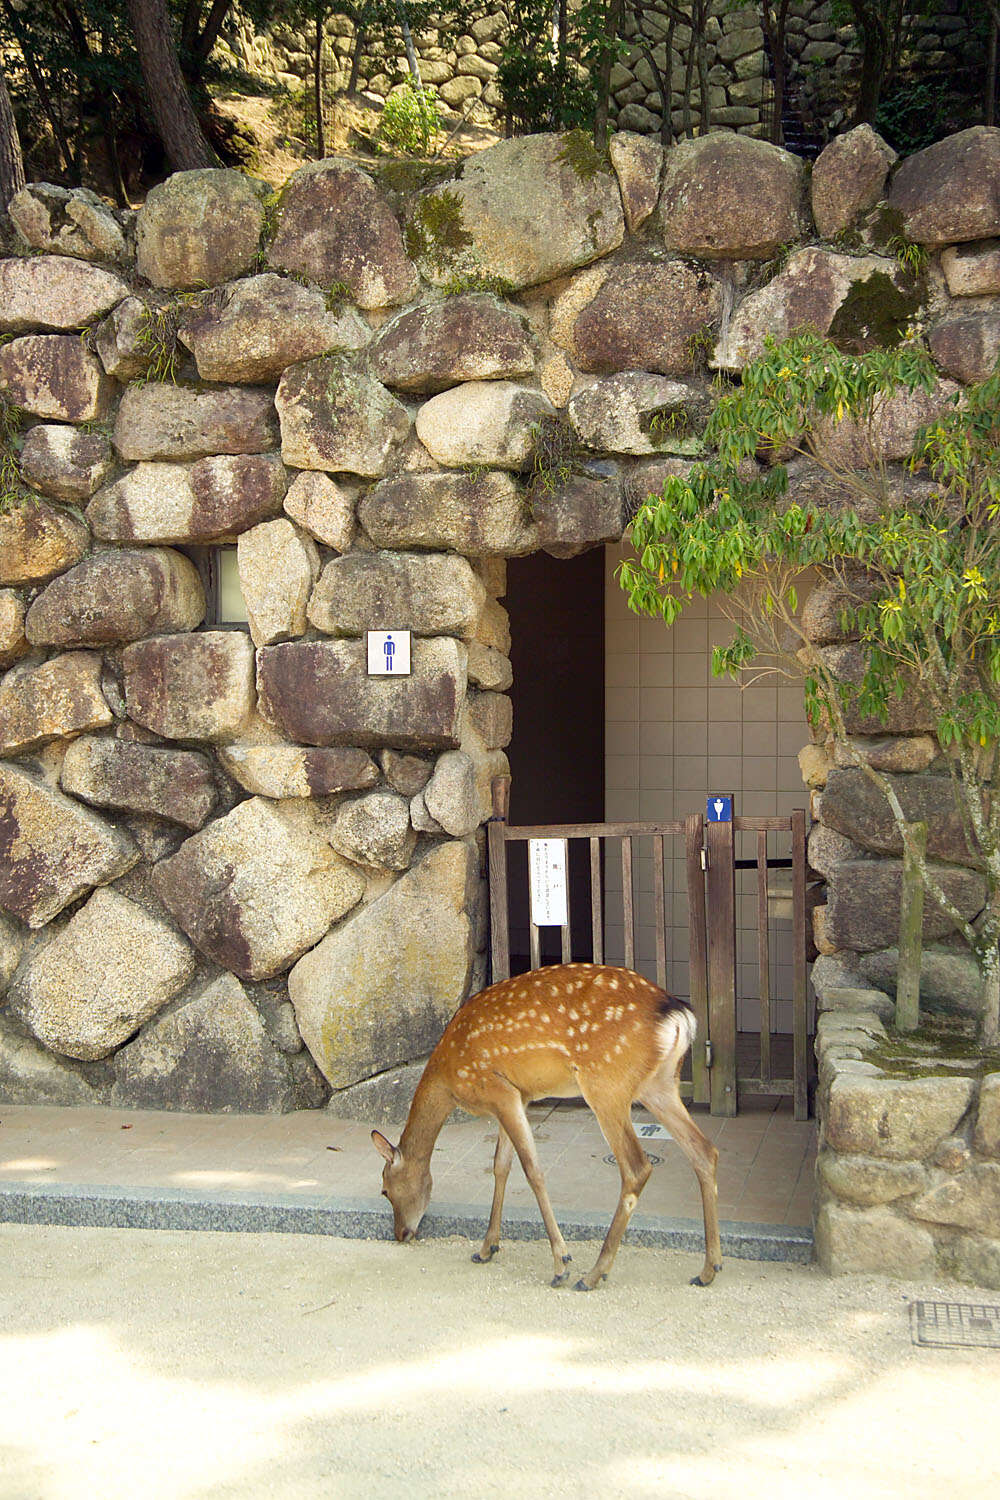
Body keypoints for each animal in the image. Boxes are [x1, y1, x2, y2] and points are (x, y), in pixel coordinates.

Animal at [371, 960, 722, 1290]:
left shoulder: (496, 1088)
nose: (400, 1233)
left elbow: (533, 1170)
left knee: (637, 1167)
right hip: (659, 1085)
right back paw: (708, 1269)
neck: (448, 1078)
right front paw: (486, 1249)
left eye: (385, 1190)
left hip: (606, 1082)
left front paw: (561, 1264)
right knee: (704, 1151)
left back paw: (592, 1275)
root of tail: (678, 1016)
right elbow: (500, 1166)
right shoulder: (517, 1095)